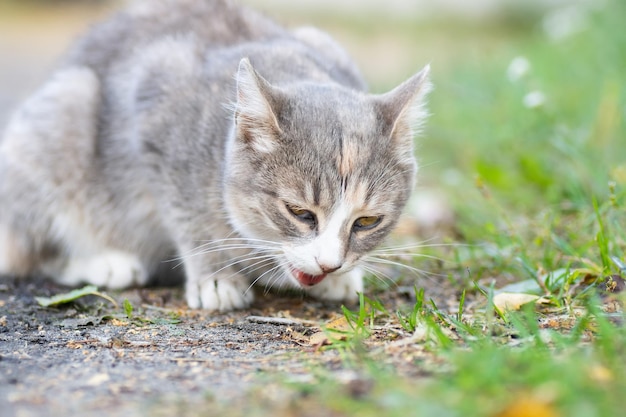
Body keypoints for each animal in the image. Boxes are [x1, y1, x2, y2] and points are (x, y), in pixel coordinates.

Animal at [0, 0, 428, 310]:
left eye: (367, 221)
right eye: (300, 213)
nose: (330, 264)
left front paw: (340, 278)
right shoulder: (156, 101)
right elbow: (187, 213)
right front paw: (217, 275)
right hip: (63, 110)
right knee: (31, 252)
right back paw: (106, 262)